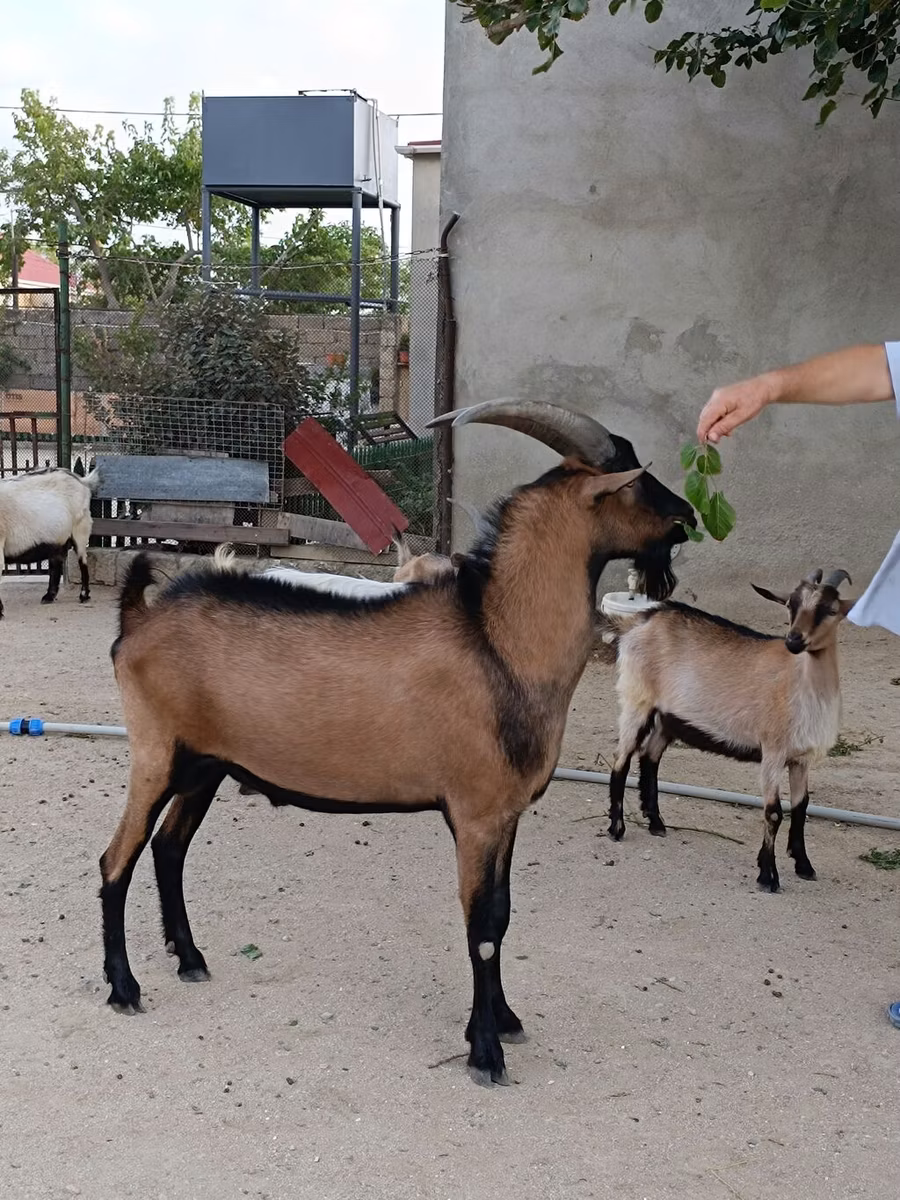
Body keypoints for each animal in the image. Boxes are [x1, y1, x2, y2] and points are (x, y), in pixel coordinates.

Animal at [0, 467, 96, 618]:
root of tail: (81, 480)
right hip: (57, 538)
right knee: (56, 562)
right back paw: (49, 597)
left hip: (80, 526)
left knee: (82, 560)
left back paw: (84, 596)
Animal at [99, 398, 695, 1086]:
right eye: (634, 480)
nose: (688, 516)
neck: (499, 639)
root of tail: (139, 622)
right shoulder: (476, 814)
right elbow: (481, 926)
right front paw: (484, 1052)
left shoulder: (507, 815)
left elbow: (504, 914)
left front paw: (505, 1021)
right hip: (155, 753)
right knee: (117, 859)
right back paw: (124, 988)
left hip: (206, 765)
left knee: (169, 848)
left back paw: (190, 958)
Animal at [607, 569, 855, 892]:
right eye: (791, 605)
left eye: (830, 609)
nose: (794, 640)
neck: (801, 682)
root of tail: (639, 620)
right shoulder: (772, 752)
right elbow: (774, 812)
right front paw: (768, 876)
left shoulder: (801, 759)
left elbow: (802, 807)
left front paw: (804, 866)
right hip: (637, 699)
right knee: (621, 759)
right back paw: (617, 828)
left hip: (668, 717)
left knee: (649, 757)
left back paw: (656, 823)